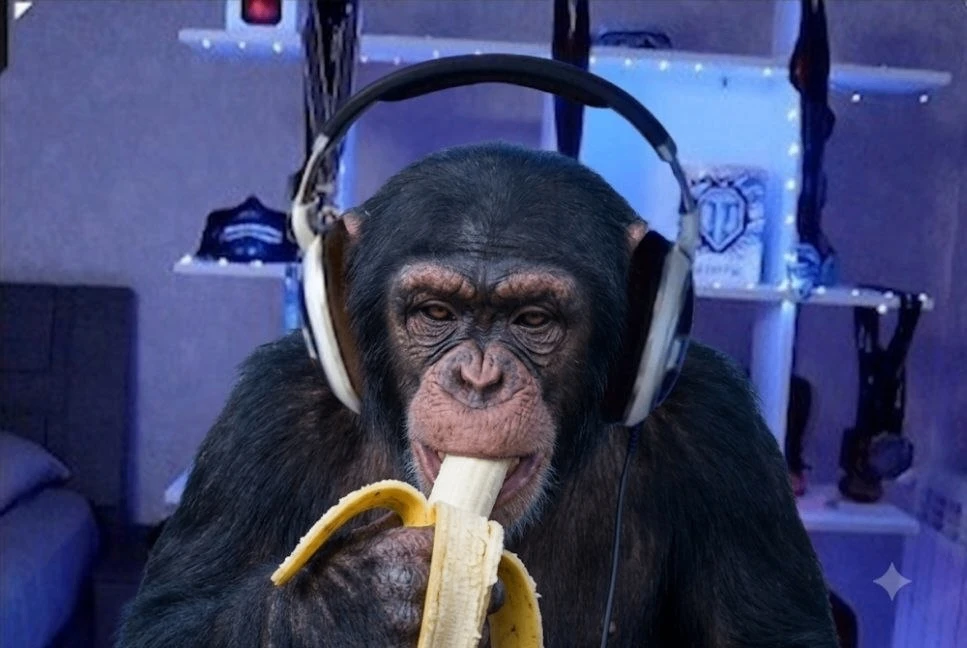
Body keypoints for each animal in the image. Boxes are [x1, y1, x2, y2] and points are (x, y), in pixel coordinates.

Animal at [117, 142, 838, 647]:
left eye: (532, 319)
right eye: (435, 312)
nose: (480, 378)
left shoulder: (725, 434)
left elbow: (774, 635)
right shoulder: (264, 418)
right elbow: (168, 620)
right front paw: (356, 600)